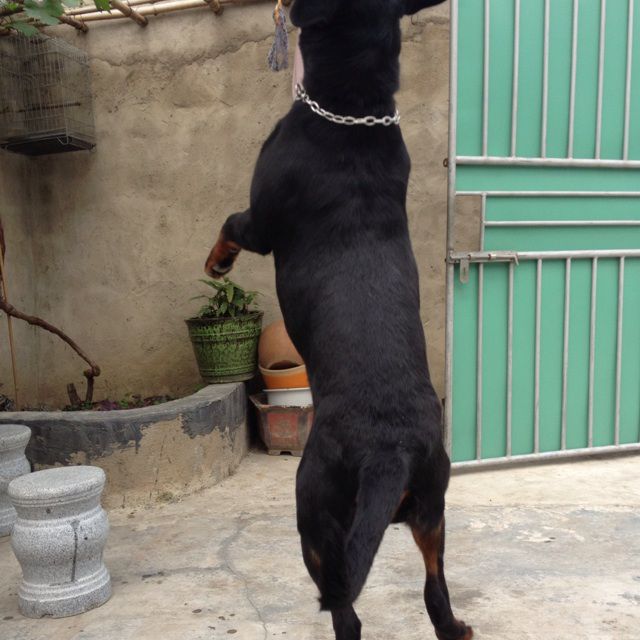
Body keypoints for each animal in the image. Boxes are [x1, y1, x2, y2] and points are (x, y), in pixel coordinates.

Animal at [205, 1, 473, 638]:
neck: (354, 108)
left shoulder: (260, 221)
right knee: (434, 586)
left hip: (314, 508)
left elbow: (230, 224)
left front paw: (216, 263)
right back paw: (454, 625)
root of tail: (390, 447)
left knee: (345, 606)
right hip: (433, 508)